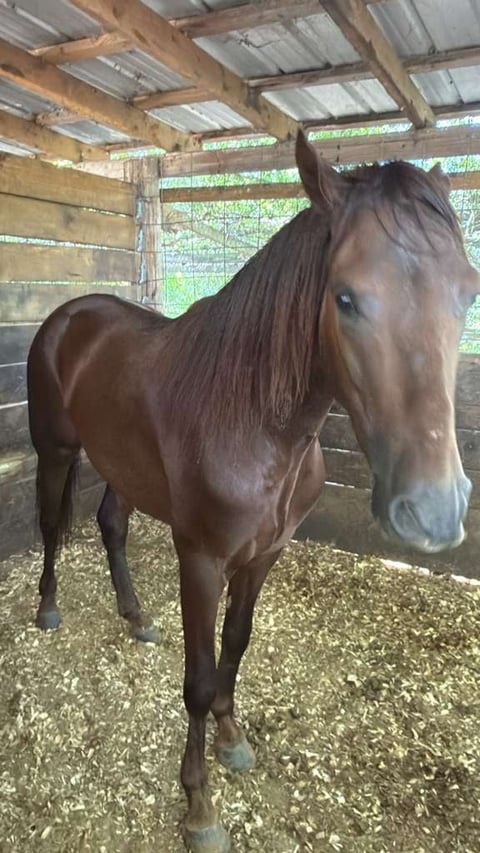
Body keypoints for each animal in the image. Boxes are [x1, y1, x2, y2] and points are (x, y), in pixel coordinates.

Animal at [27, 131, 479, 853]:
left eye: (467, 293)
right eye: (345, 297)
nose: (433, 511)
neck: (255, 420)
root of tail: (70, 315)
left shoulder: (264, 555)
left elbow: (235, 646)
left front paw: (233, 739)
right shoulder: (201, 560)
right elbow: (198, 678)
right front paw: (199, 805)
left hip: (121, 465)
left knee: (111, 524)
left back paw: (136, 616)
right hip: (57, 451)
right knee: (50, 526)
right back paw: (47, 609)